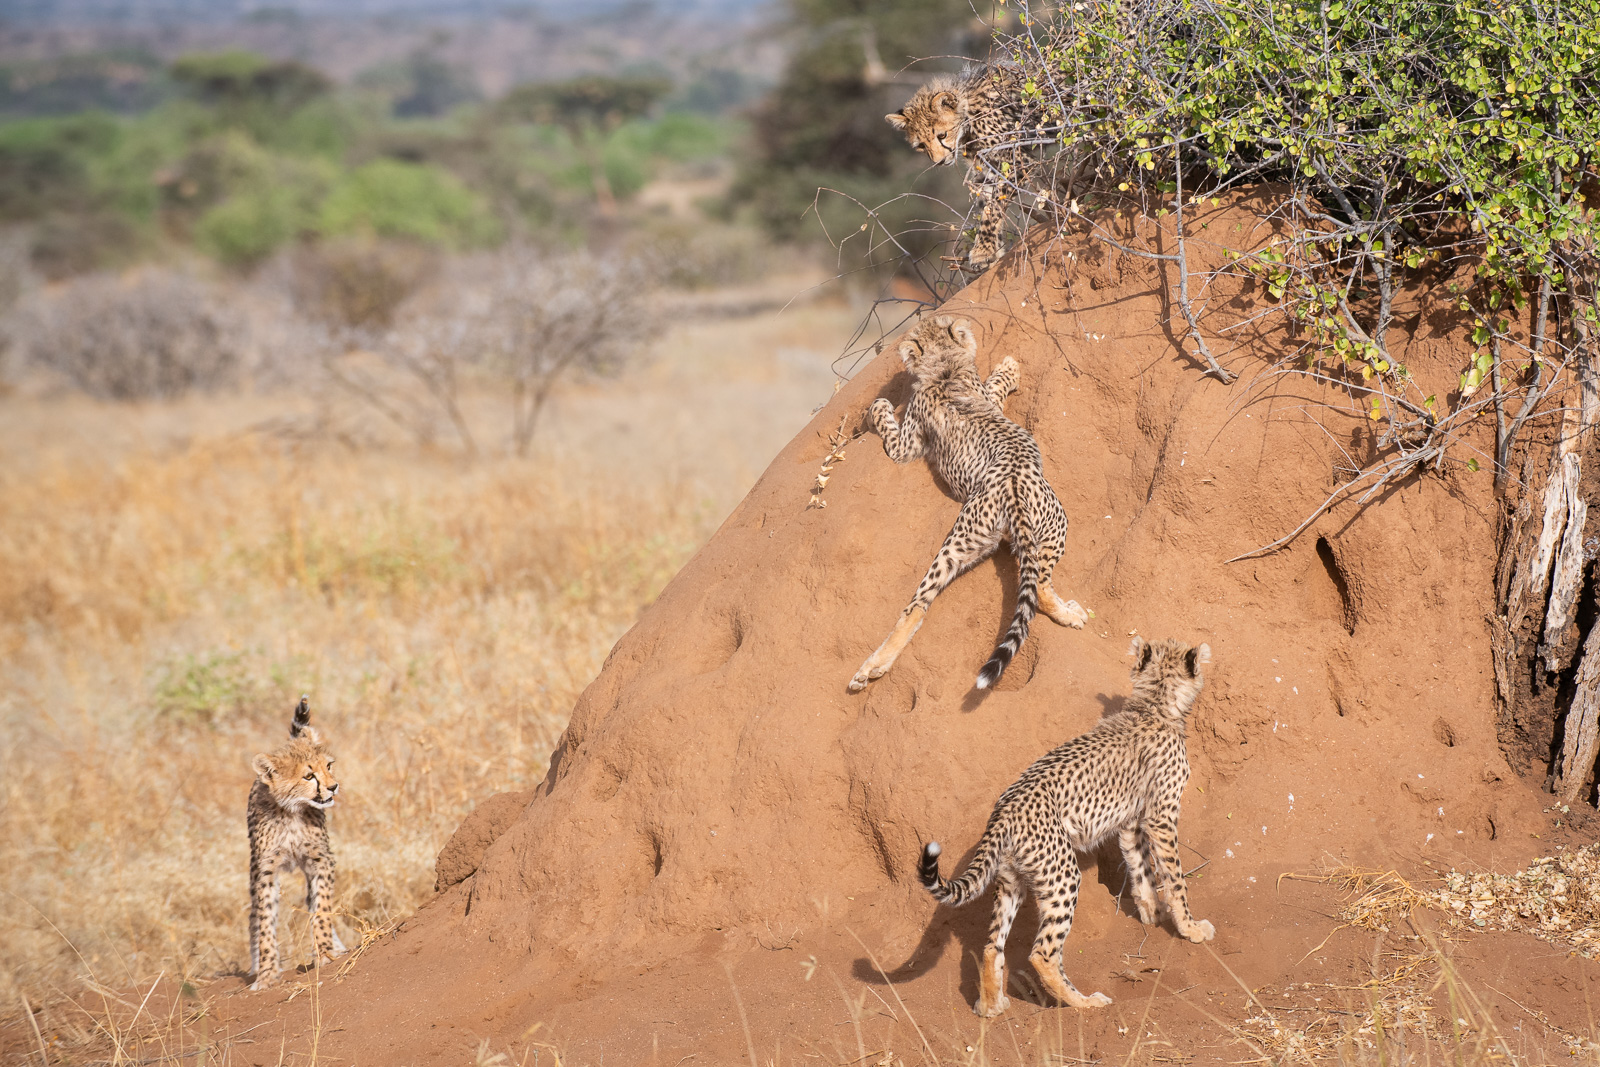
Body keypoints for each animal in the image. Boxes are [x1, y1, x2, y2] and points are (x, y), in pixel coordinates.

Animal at [247, 695, 345, 990]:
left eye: (328, 766)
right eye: (308, 776)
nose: (334, 787)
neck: (291, 810)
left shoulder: (321, 860)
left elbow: (321, 907)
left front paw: (325, 952)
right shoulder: (266, 871)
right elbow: (265, 920)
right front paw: (267, 972)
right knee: (254, 915)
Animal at [849, 314, 1086, 694]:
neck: (944, 369)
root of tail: (1012, 485)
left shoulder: (911, 441)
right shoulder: (908, 444)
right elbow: (993, 385)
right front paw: (1009, 368)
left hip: (962, 542)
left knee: (917, 604)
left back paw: (872, 667)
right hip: (1056, 522)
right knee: (1039, 585)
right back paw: (1071, 613)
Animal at [886, 65, 1042, 271]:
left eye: (942, 135)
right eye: (921, 146)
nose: (939, 161)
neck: (967, 112)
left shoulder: (1018, 163)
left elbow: (993, 208)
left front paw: (982, 251)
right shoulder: (987, 173)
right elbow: (986, 206)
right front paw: (994, 253)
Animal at [918, 636, 1215, 1018]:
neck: (1153, 705)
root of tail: (1005, 808)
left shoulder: (1131, 821)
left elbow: (1142, 869)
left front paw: (1151, 913)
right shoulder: (1161, 815)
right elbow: (1176, 879)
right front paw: (1190, 927)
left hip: (1013, 879)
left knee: (992, 945)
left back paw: (990, 1006)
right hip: (1063, 875)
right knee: (1042, 953)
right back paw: (1084, 1002)